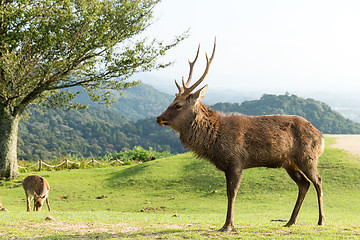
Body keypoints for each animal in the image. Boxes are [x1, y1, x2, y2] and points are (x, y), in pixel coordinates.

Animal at [156, 38, 324, 232]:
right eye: (171, 101)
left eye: (177, 105)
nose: (159, 118)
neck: (215, 140)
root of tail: (321, 136)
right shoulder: (228, 166)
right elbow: (228, 192)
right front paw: (227, 223)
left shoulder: (236, 160)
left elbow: (232, 192)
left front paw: (228, 225)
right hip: (289, 162)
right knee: (304, 184)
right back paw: (290, 221)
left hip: (308, 157)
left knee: (318, 181)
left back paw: (321, 220)